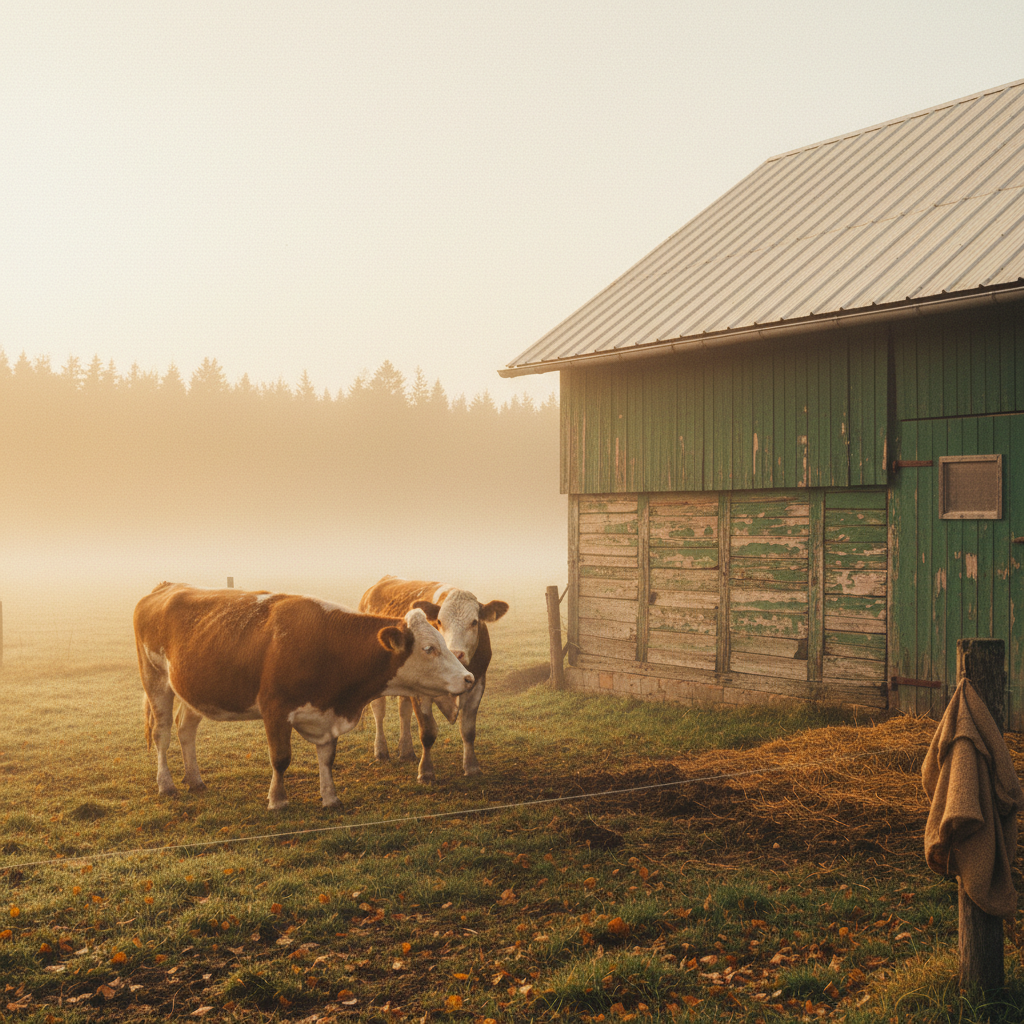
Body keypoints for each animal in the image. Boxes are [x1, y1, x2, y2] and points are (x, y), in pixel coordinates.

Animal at [133, 582, 474, 810]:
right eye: (429, 649)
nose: (468, 678)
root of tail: (166, 586)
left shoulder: (327, 714)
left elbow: (327, 758)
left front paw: (330, 797)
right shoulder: (275, 709)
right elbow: (281, 758)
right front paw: (278, 800)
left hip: (192, 690)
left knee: (186, 731)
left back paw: (194, 779)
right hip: (155, 680)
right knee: (163, 733)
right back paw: (167, 784)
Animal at [358, 576, 508, 782]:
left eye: (474, 622)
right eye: (439, 621)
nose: (456, 653)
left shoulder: (478, 684)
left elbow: (468, 730)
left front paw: (472, 767)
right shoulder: (421, 693)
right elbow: (427, 732)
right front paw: (426, 772)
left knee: (404, 712)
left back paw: (406, 752)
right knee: (379, 711)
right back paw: (381, 752)